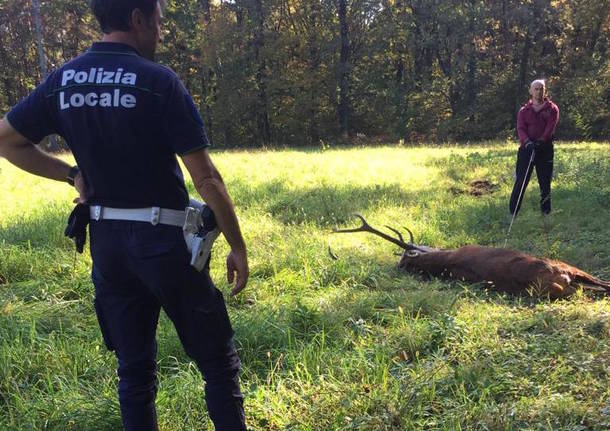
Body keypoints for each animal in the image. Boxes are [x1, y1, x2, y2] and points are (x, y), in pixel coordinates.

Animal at [332, 214, 608, 298]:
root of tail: (562, 278)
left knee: (599, 283)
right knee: (598, 285)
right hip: (564, 272)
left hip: (572, 270)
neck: (447, 261)